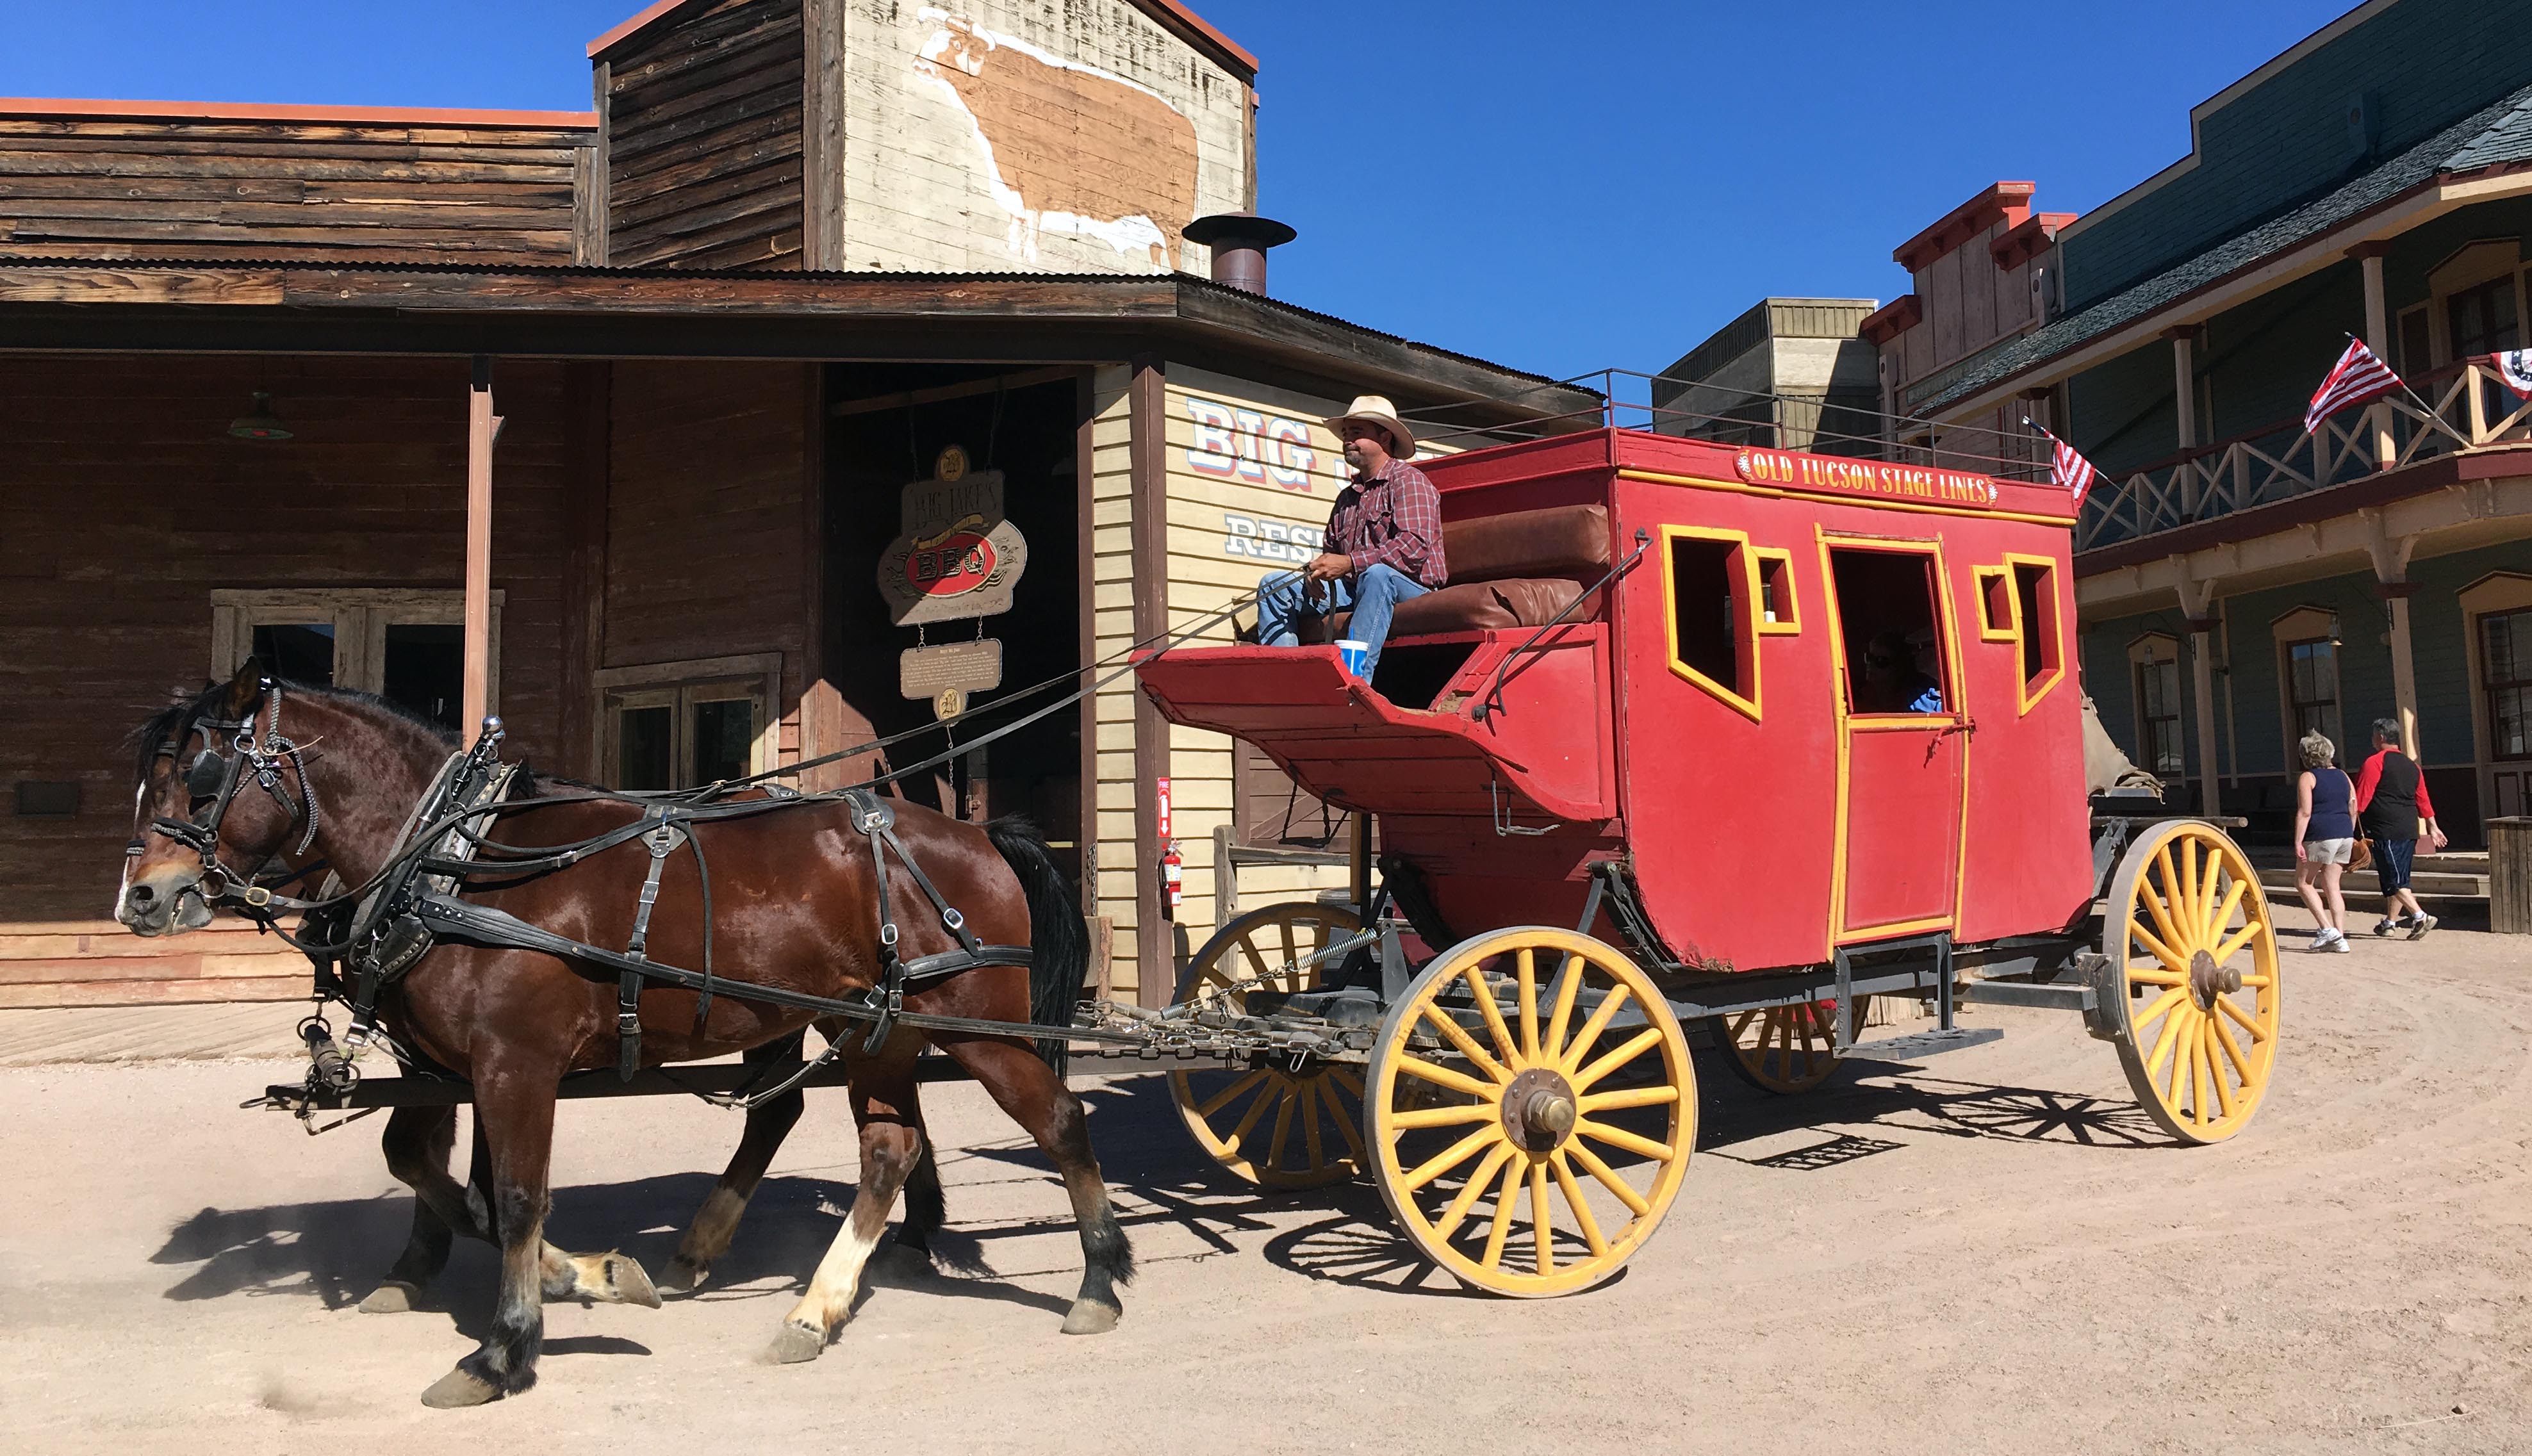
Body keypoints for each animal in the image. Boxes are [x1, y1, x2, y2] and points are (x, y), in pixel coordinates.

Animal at [119, 668, 1129, 1407]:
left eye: (200, 779)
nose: (142, 897)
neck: (456, 859)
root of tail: (979, 837)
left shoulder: (515, 1062)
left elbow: (515, 1196)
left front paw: (506, 1348)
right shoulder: (456, 1063)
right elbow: (437, 1168)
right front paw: (590, 1276)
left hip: (979, 1025)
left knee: (1060, 1120)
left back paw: (1097, 1279)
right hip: (872, 1026)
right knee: (883, 1144)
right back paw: (806, 1303)